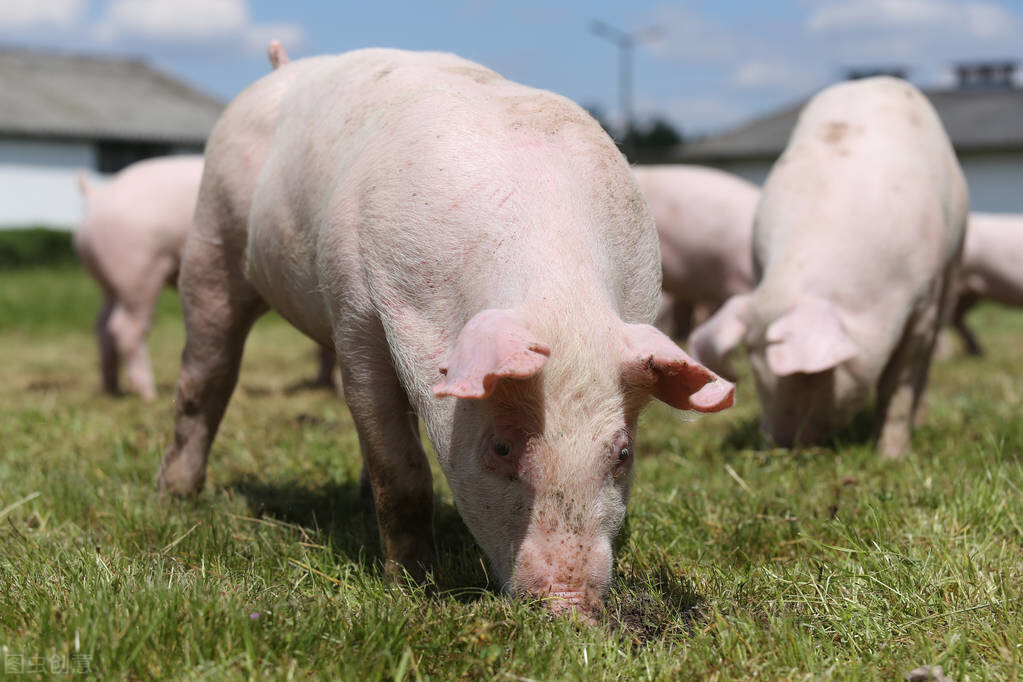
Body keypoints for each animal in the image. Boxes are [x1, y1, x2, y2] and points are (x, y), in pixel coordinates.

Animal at [74, 154, 202, 400]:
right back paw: (149, 395)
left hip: (111, 283)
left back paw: (114, 390)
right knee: (125, 327)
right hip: (139, 270)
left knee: (102, 324)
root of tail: (97, 196)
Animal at [153, 48, 736, 613]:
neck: (558, 295)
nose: (568, 607)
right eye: (501, 447)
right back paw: (176, 497)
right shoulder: (356, 307)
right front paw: (412, 585)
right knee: (207, 372)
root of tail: (282, 68)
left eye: (622, 453)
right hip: (212, 235)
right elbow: (399, 467)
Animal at [687, 77, 965, 456]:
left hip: (955, 260)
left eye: (811, 376)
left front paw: (891, 456)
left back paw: (919, 422)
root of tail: (876, 80)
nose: (780, 444)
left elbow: (899, 383)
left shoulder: (922, 304)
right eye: (756, 374)